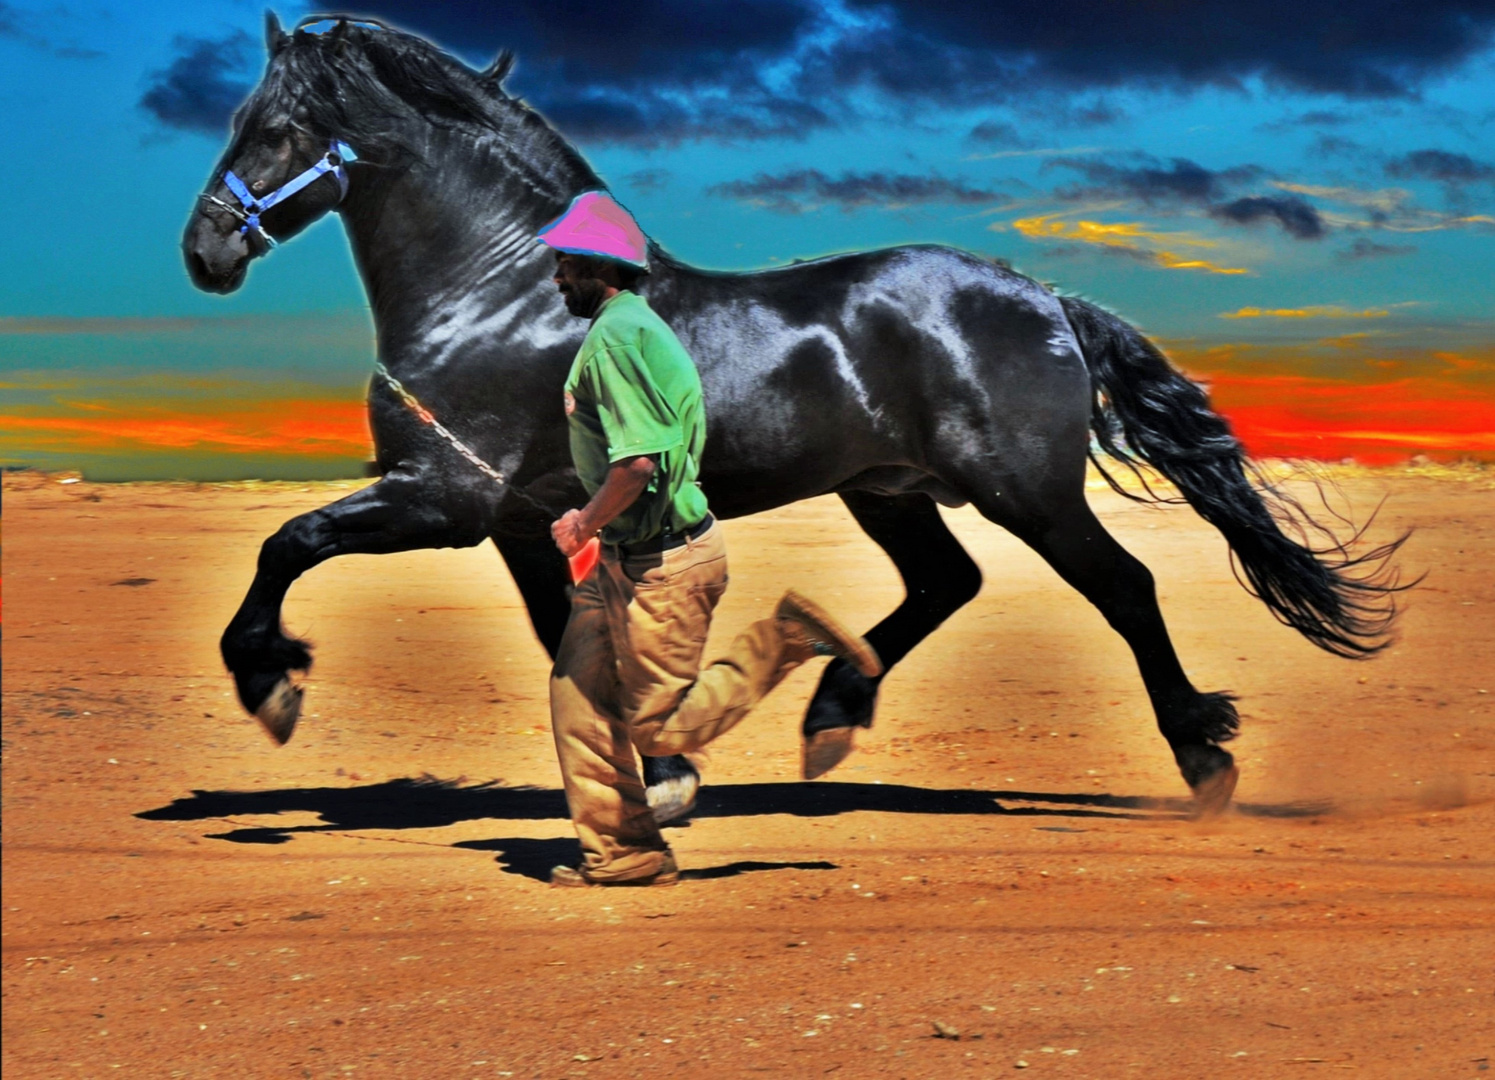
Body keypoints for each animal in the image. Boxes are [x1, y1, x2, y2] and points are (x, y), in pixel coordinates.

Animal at [183, 16, 1399, 813]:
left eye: (274, 127)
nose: (204, 253)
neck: (502, 288)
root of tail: (1044, 297)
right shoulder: (525, 523)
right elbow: (562, 639)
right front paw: (667, 769)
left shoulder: (442, 499)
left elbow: (287, 541)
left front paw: (267, 679)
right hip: (889, 492)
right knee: (945, 583)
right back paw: (830, 715)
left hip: (1026, 490)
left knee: (1122, 587)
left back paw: (1204, 757)